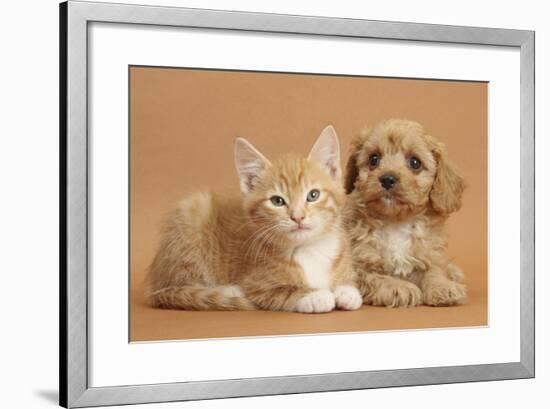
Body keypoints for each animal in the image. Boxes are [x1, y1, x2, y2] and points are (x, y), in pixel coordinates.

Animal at [147, 126, 362, 312]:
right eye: (277, 201)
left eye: (313, 195)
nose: (298, 217)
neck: (308, 249)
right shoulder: (256, 283)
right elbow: (282, 291)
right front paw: (315, 295)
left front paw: (347, 290)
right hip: (190, 224)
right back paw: (227, 290)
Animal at [348, 118, 468, 306]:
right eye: (374, 159)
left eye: (415, 162)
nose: (387, 179)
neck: (396, 222)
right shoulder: (357, 264)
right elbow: (374, 276)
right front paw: (399, 287)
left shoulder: (429, 254)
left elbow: (435, 270)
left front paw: (443, 287)